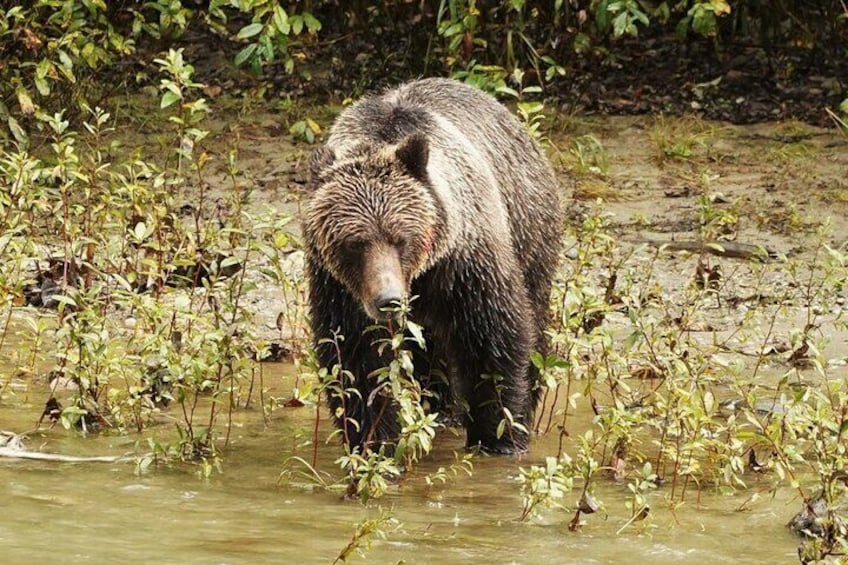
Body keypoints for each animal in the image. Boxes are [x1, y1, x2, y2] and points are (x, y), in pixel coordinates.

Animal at [303, 77, 562, 455]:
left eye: (400, 238)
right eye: (354, 243)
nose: (389, 299)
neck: (419, 276)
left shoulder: (465, 261)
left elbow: (493, 340)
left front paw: (499, 438)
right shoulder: (338, 286)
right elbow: (356, 359)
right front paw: (375, 442)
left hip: (531, 229)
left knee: (535, 322)